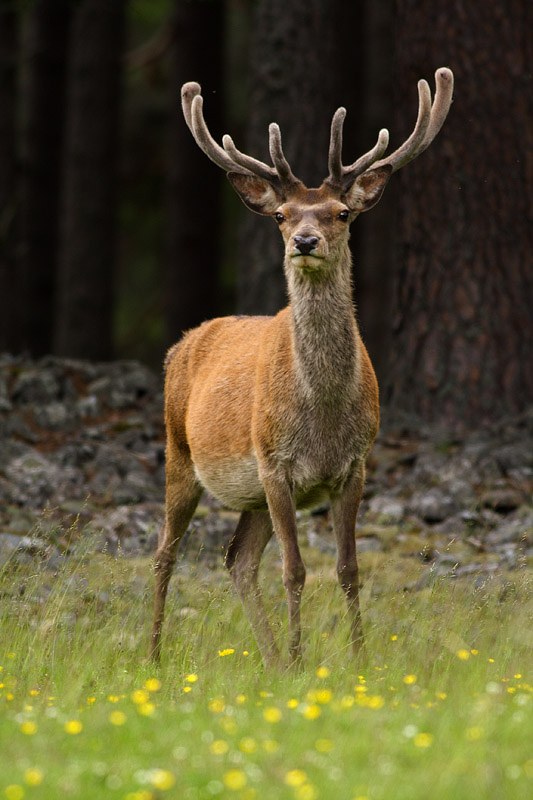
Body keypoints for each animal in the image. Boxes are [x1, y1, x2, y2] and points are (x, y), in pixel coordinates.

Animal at [150, 68, 454, 668]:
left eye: (342, 213)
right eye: (280, 215)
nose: (304, 240)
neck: (323, 415)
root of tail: (180, 346)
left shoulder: (355, 465)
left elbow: (349, 569)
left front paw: (356, 661)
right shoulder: (276, 463)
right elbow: (294, 571)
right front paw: (300, 659)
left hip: (250, 494)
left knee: (237, 560)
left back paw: (269, 659)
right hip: (181, 453)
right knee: (165, 552)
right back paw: (152, 655)